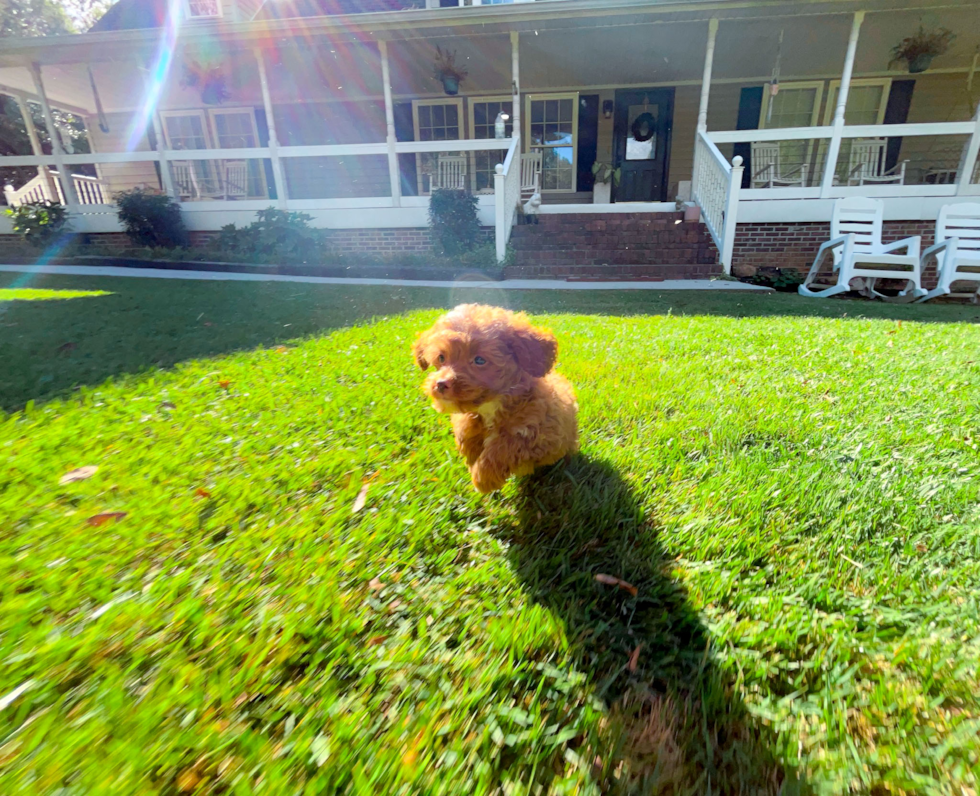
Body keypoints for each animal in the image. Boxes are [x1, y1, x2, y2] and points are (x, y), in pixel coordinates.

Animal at [412, 304, 580, 492]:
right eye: (441, 357)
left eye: (479, 360)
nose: (441, 384)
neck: (491, 406)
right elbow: (465, 430)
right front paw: (471, 451)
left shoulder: (544, 436)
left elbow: (506, 446)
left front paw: (483, 479)